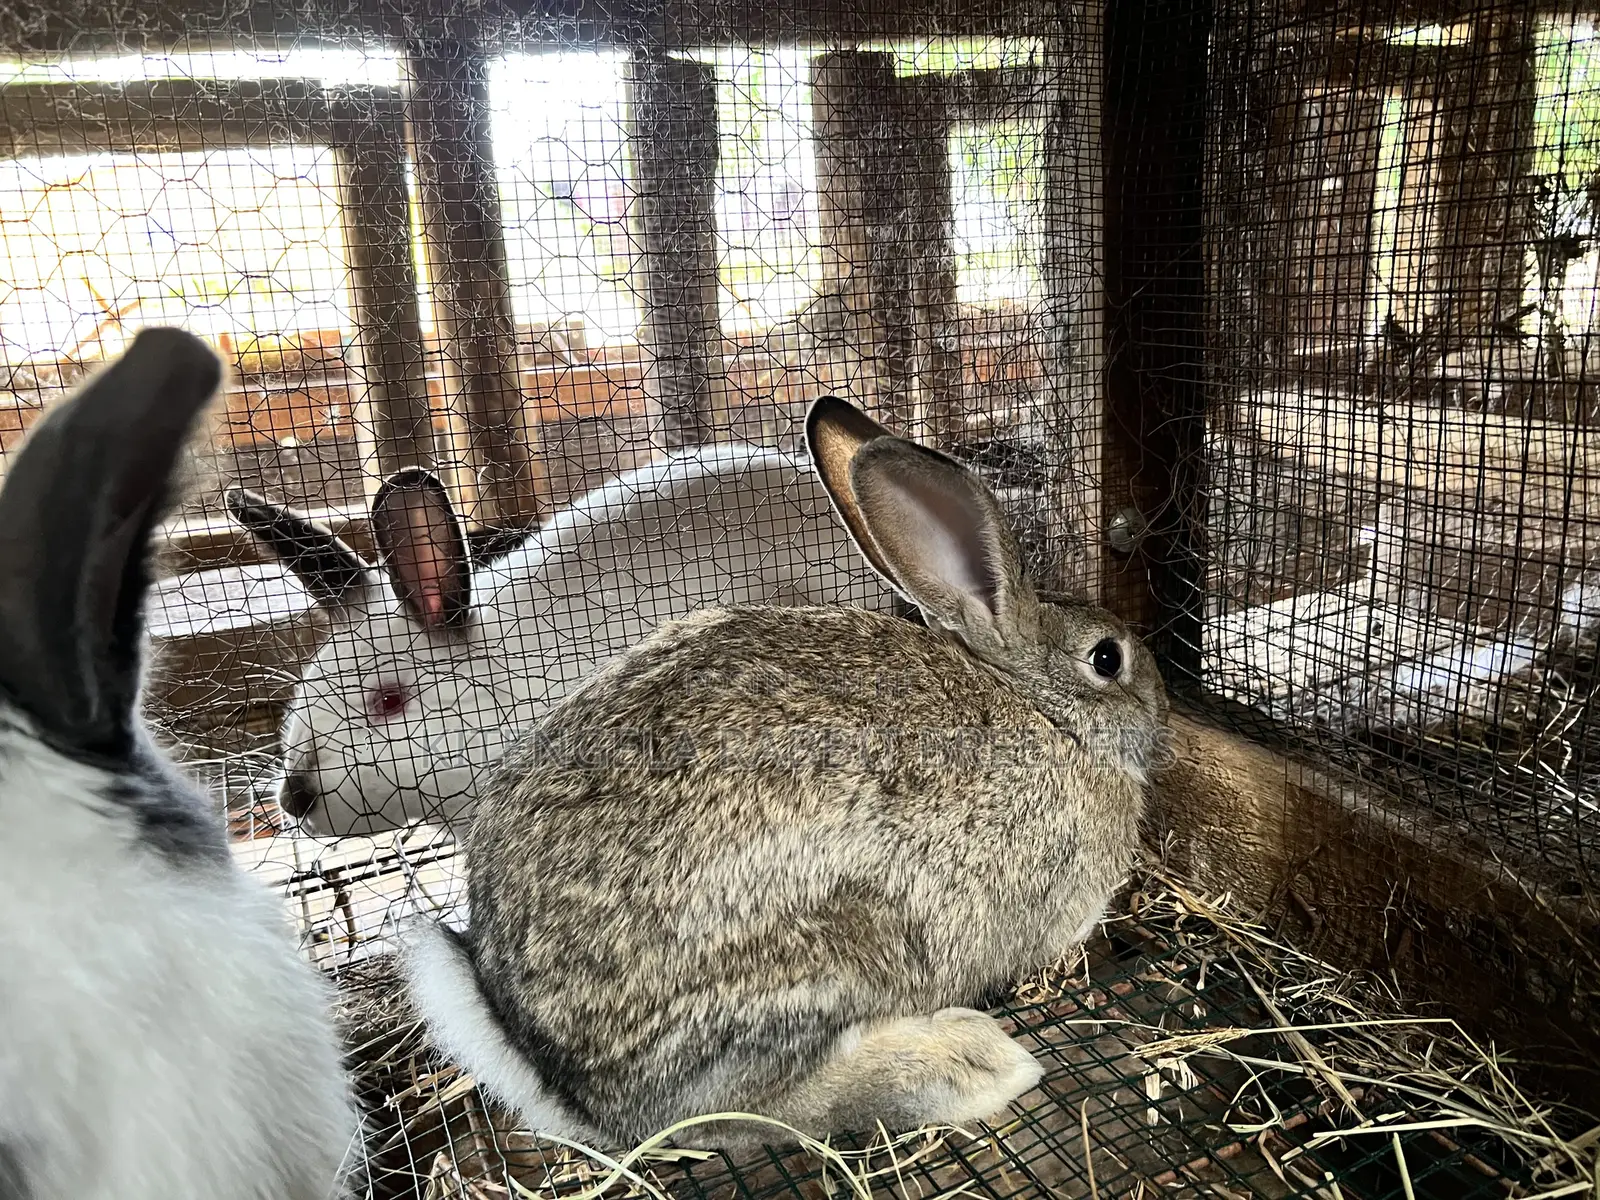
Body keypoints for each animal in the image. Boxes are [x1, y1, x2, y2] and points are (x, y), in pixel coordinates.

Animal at [401, 394, 1169, 1152]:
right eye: (1108, 659)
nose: (1162, 706)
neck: (1048, 715)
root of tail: (562, 1080)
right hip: (827, 960)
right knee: (746, 1113)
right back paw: (967, 1064)